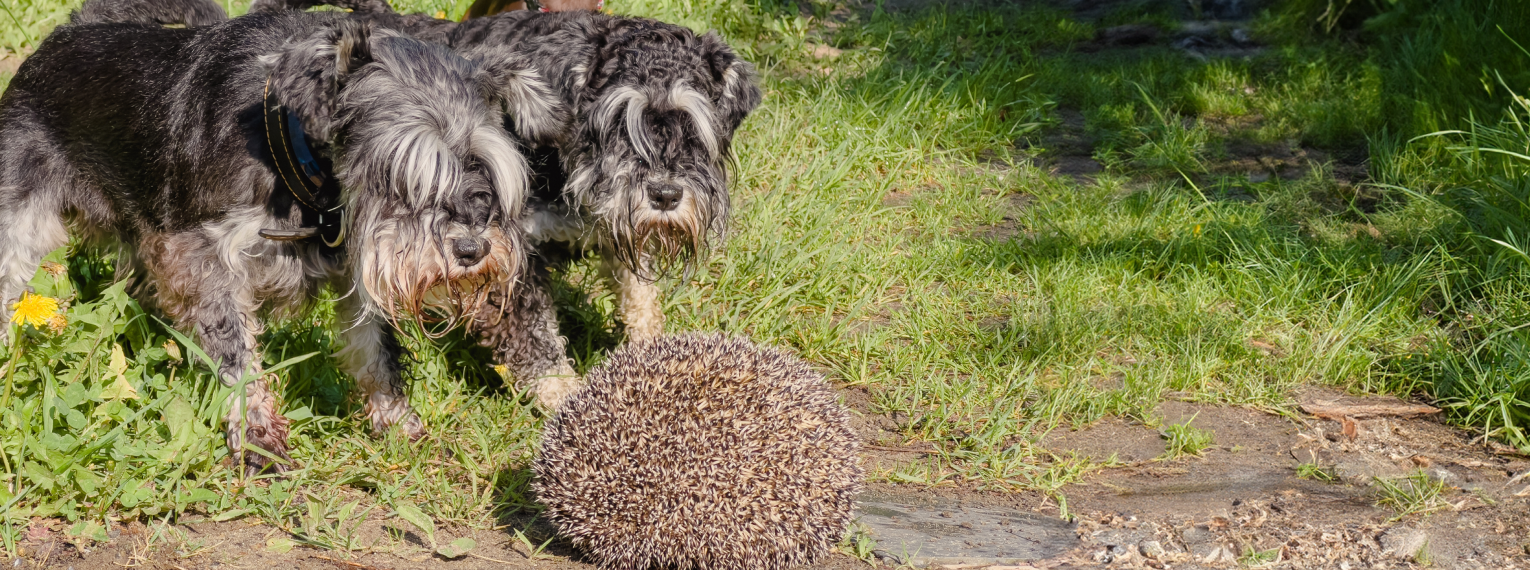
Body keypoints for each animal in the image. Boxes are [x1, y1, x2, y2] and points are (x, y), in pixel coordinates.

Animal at [0, 8, 563, 470]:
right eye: (400, 171)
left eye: (482, 164)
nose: (472, 250)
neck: (304, 174)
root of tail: (48, 49)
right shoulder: (203, 259)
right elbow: (237, 357)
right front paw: (257, 441)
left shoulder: (357, 268)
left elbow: (375, 351)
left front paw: (397, 423)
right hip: (19, 229)